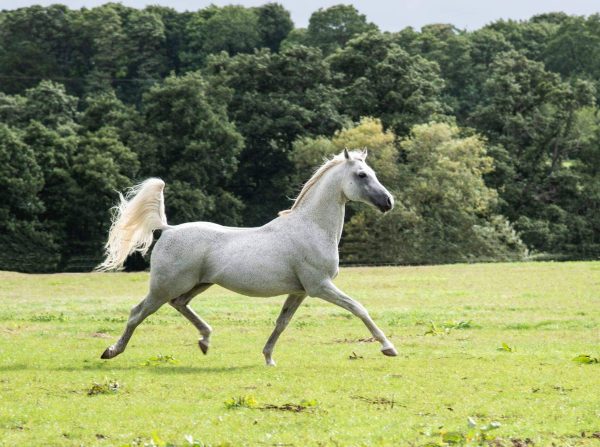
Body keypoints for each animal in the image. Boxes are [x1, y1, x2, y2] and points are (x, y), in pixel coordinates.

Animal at [97, 149, 398, 366]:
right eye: (362, 175)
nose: (388, 202)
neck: (311, 227)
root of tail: (168, 229)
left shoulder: (299, 292)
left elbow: (282, 323)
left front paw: (268, 358)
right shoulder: (319, 286)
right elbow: (358, 308)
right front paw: (389, 348)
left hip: (197, 284)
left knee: (179, 304)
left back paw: (205, 341)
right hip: (164, 287)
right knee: (138, 312)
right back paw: (111, 351)